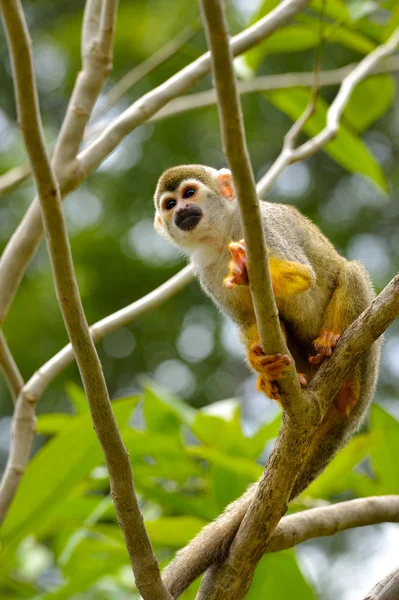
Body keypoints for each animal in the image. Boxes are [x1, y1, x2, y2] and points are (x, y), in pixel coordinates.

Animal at [153, 164, 382, 600]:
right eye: (170, 204)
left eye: (189, 194)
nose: (182, 212)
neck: (222, 233)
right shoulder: (204, 271)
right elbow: (247, 321)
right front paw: (260, 363)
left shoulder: (263, 228)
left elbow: (304, 275)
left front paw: (245, 270)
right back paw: (280, 381)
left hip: (367, 365)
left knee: (350, 271)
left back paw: (337, 359)